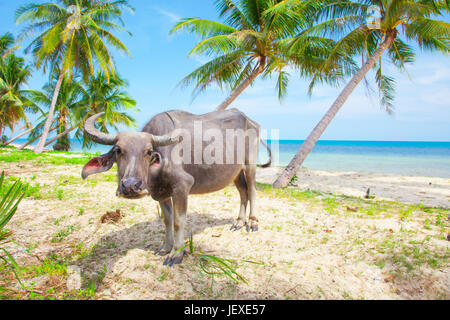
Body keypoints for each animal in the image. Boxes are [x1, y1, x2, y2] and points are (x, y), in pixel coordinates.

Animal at [81, 109, 270, 264]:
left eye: (148, 152)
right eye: (118, 150)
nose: (130, 186)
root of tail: (251, 121)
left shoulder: (182, 187)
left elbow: (179, 221)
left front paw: (177, 253)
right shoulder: (162, 194)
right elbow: (167, 221)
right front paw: (166, 247)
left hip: (250, 164)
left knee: (252, 190)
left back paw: (252, 222)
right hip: (235, 172)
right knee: (243, 192)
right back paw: (239, 222)